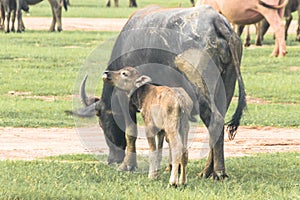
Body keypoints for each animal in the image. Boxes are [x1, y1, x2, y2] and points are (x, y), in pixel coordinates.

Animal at [71, 5, 246, 180]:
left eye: (102, 123)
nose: (112, 159)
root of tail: (217, 21)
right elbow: (169, 135)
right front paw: (171, 166)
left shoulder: (125, 98)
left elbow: (131, 132)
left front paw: (127, 165)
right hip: (226, 87)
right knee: (217, 123)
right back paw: (207, 171)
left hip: (201, 86)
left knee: (215, 120)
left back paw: (219, 172)